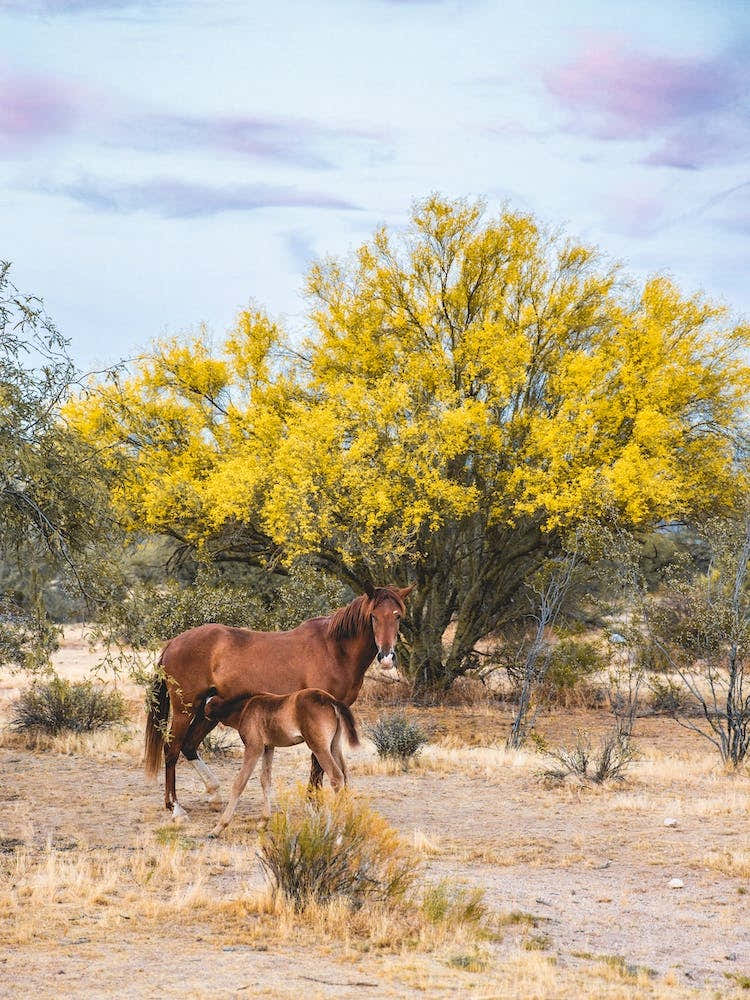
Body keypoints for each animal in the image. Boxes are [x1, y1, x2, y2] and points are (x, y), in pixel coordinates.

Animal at [144, 583, 412, 822]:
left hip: (207, 711)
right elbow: (317, 762)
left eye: (397, 616)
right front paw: (313, 804)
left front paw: (313, 802)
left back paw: (213, 794)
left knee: (189, 746)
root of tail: (173, 643)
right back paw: (176, 807)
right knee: (172, 749)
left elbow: (320, 764)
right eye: (373, 616)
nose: (386, 657)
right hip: (184, 709)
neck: (334, 650)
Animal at [204, 687, 360, 837]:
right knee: (345, 776)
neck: (245, 707)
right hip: (334, 745)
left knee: (336, 777)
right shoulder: (268, 747)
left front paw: (218, 828)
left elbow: (239, 783)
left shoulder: (254, 748)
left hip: (319, 747)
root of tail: (331, 701)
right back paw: (349, 822)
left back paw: (339, 827)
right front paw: (263, 822)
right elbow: (265, 780)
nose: (204, 716)